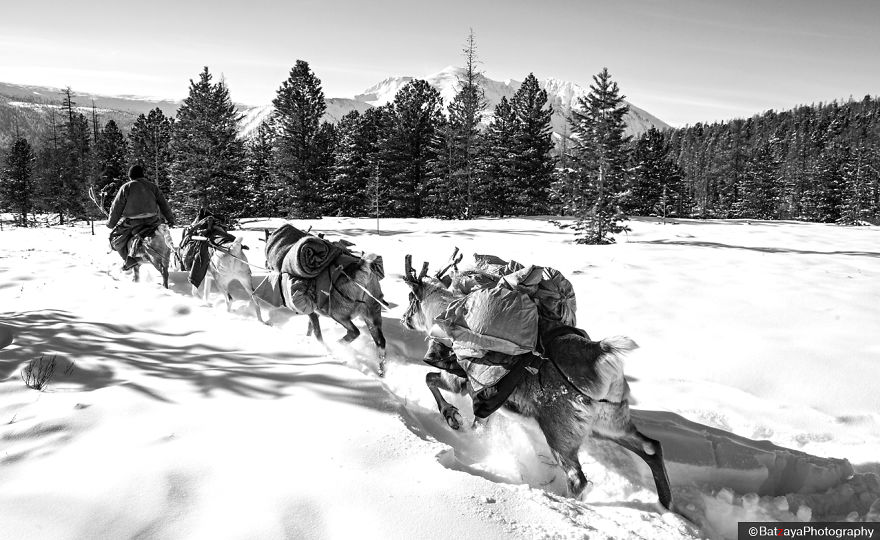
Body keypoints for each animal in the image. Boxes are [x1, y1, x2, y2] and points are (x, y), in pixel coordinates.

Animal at [400, 254, 673, 510]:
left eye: (411, 300)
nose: (403, 319)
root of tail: (599, 353)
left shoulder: (457, 379)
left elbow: (429, 379)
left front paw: (452, 417)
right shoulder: (487, 402)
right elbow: (481, 422)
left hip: (560, 432)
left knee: (578, 479)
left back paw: (567, 502)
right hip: (609, 422)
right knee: (651, 446)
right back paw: (665, 503)